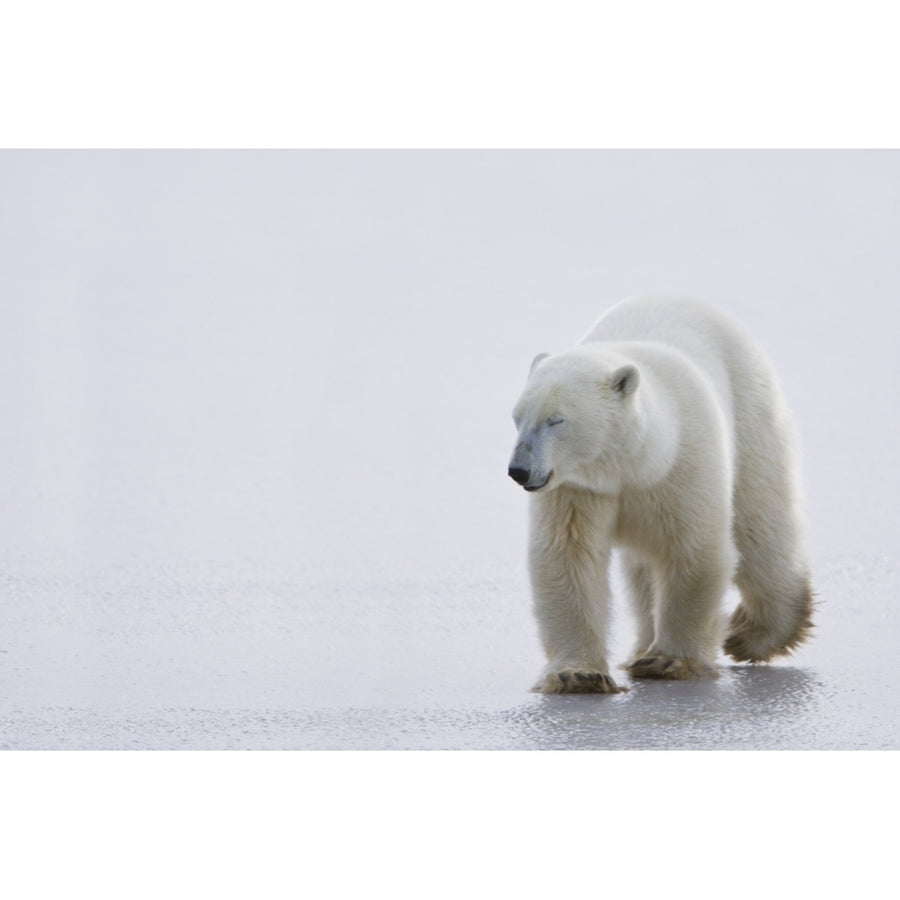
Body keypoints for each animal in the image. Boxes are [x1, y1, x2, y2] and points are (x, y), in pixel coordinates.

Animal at [510, 292, 812, 692]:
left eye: (556, 419)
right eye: (517, 417)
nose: (519, 470)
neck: (635, 465)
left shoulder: (682, 465)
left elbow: (693, 550)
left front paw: (669, 660)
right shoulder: (578, 488)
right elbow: (568, 557)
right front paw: (578, 674)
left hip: (750, 408)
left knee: (760, 522)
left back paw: (756, 634)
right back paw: (641, 647)